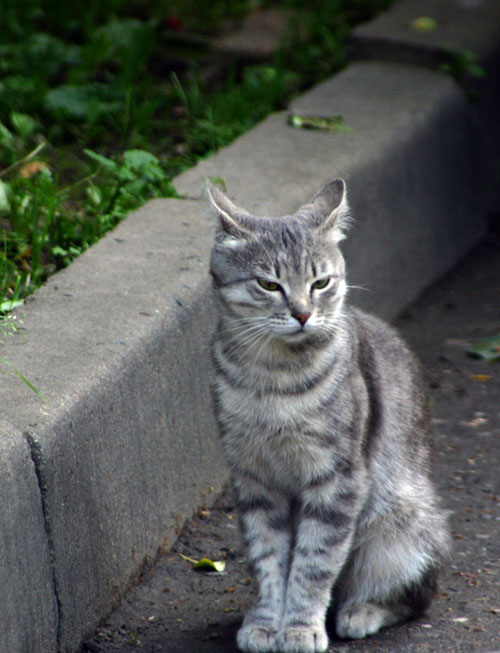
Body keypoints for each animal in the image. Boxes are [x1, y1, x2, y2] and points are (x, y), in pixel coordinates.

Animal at [205, 180, 452, 652]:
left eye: (320, 282)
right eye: (268, 284)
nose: (302, 313)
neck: (272, 377)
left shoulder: (338, 480)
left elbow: (314, 563)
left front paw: (300, 627)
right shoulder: (254, 479)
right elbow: (268, 560)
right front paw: (266, 622)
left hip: (401, 526)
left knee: (414, 595)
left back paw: (360, 610)